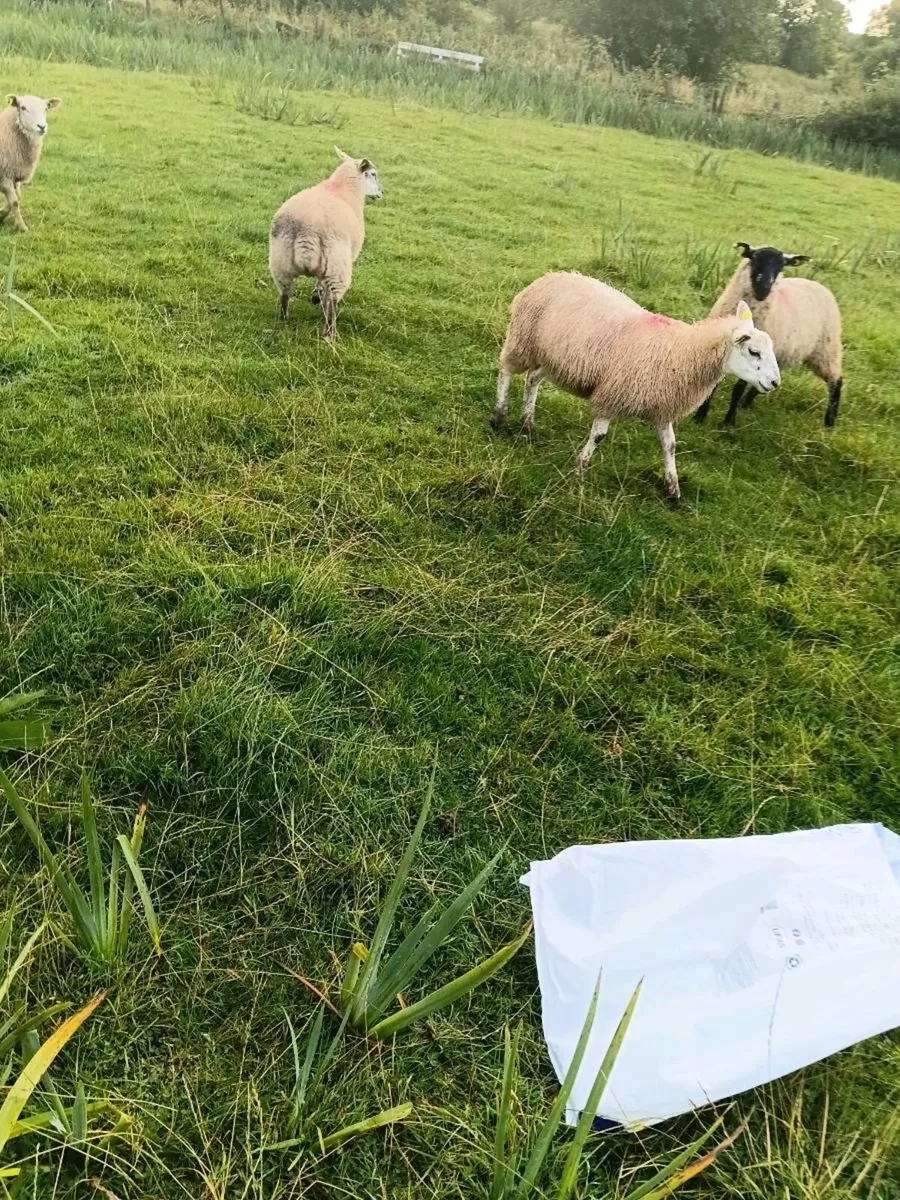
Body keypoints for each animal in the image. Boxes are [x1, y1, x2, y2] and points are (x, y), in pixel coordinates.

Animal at [0, 94, 60, 233]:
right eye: (23, 107)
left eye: (46, 108)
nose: (42, 127)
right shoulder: (5, 175)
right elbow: (14, 202)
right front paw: (22, 228)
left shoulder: (15, 174)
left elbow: (17, 198)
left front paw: (1, 214)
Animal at [269, 147, 383, 344]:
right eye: (373, 174)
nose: (380, 193)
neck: (342, 188)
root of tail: (308, 229)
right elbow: (322, 287)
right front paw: (318, 297)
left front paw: (316, 296)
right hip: (337, 264)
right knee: (333, 302)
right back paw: (329, 335)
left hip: (280, 260)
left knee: (285, 294)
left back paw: (284, 319)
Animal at [491, 271, 780, 502]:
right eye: (754, 352)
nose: (775, 383)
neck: (682, 353)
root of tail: (549, 276)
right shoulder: (611, 396)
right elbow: (599, 437)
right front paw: (580, 470)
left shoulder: (663, 408)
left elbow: (670, 445)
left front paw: (673, 490)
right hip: (522, 340)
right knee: (506, 371)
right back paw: (498, 416)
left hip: (553, 360)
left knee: (532, 379)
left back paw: (528, 423)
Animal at [696, 242, 843, 428]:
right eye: (754, 258)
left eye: (781, 266)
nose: (764, 289)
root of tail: (819, 285)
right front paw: (700, 416)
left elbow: (738, 389)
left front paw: (729, 422)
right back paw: (746, 403)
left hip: (826, 349)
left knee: (836, 381)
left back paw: (829, 422)